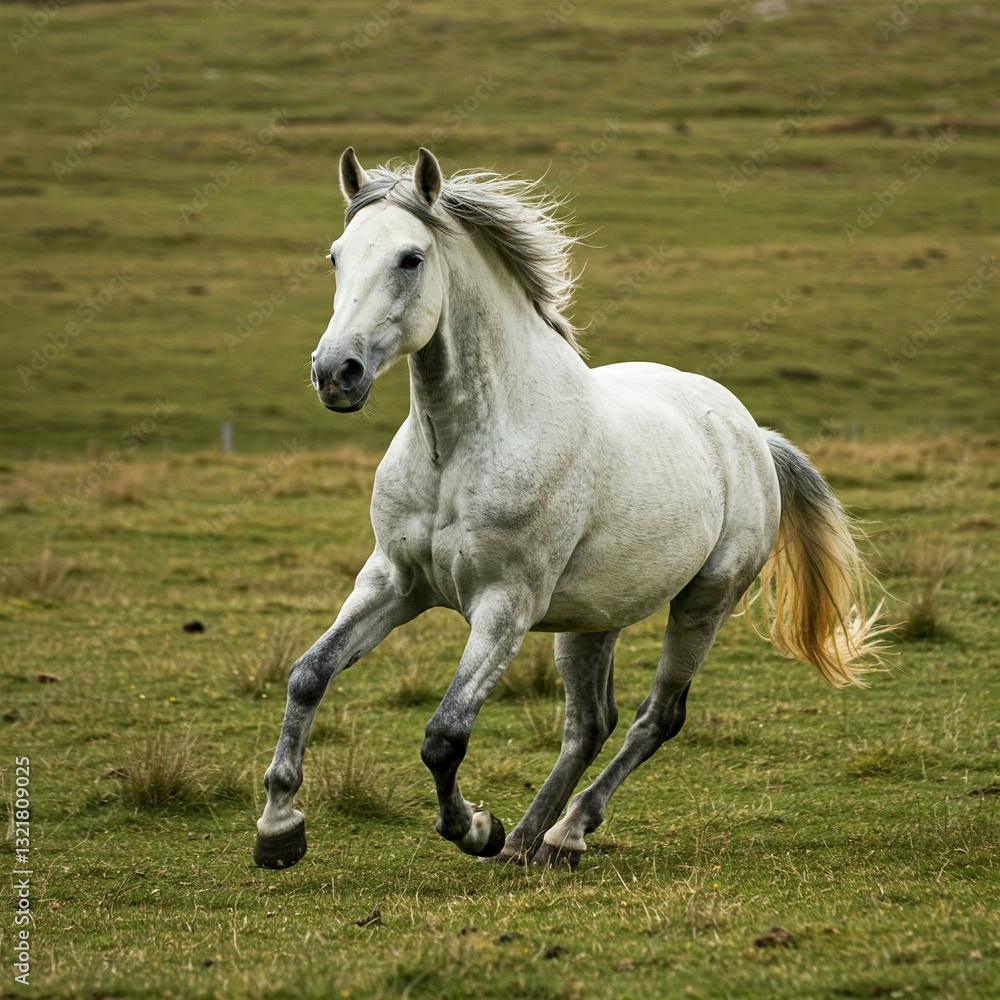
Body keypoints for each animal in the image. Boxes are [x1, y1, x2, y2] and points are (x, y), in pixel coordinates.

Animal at [253, 147, 887, 871]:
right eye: (336, 256)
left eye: (410, 259)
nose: (337, 373)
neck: (459, 448)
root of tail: (750, 433)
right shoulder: (392, 582)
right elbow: (309, 675)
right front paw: (278, 828)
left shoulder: (507, 605)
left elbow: (445, 733)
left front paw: (475, 827)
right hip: (593, 620)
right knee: (590, 723)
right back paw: (529, 840)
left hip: (704, 603)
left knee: (656, 718)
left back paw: (564, 832)